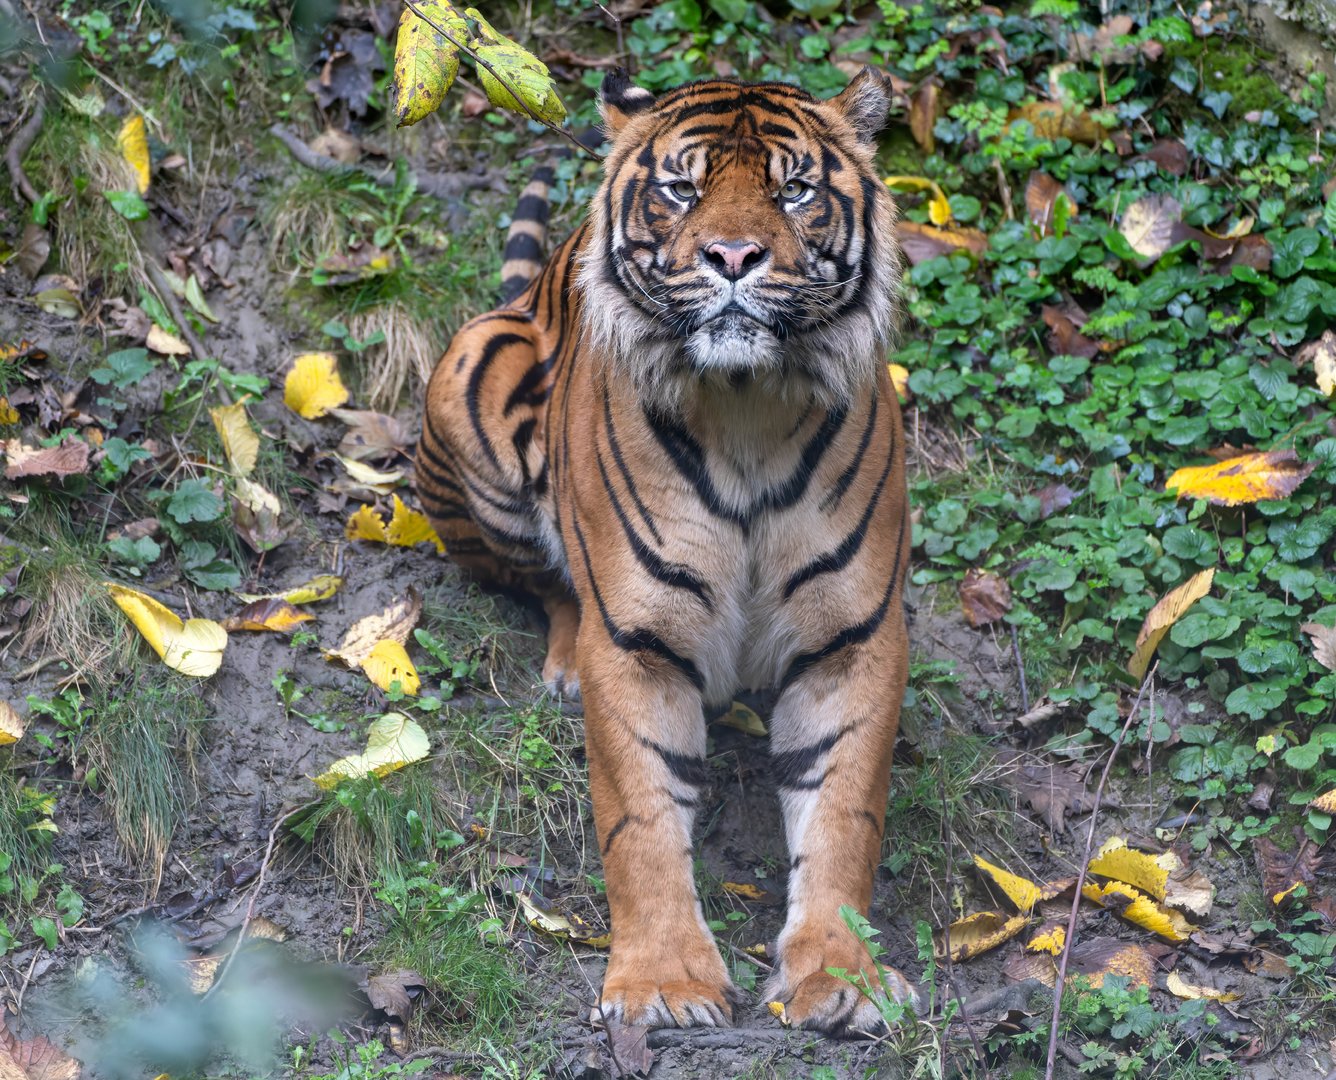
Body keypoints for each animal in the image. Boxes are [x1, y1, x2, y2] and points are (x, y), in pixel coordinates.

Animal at [416, 67, 915, 1035]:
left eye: (795, 190)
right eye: (683, 189)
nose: (733, 256)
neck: (747, 406)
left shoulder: (853, 641)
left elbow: (844, 817)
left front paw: (841, 979)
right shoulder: (636, 642)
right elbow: (640, 821)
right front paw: (664, 985)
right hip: (471, 370)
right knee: (549, 585)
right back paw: (563, 669)